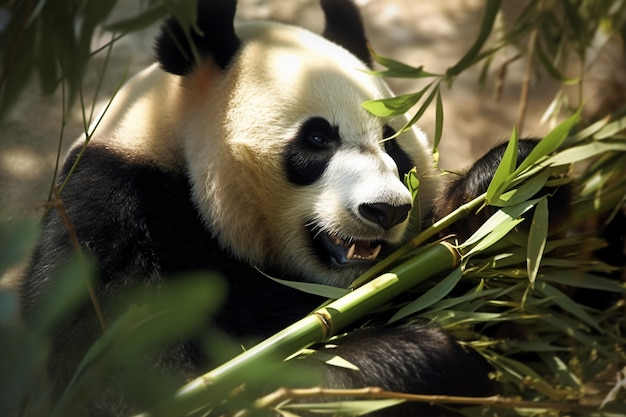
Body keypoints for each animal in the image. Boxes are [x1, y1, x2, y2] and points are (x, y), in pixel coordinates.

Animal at [20, 0, 498, 414]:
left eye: (392, 143)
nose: (386, 210)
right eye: (318, 138)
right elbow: (148, 381)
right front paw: (420, 354)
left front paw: (492, 191)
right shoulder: (112, 221)